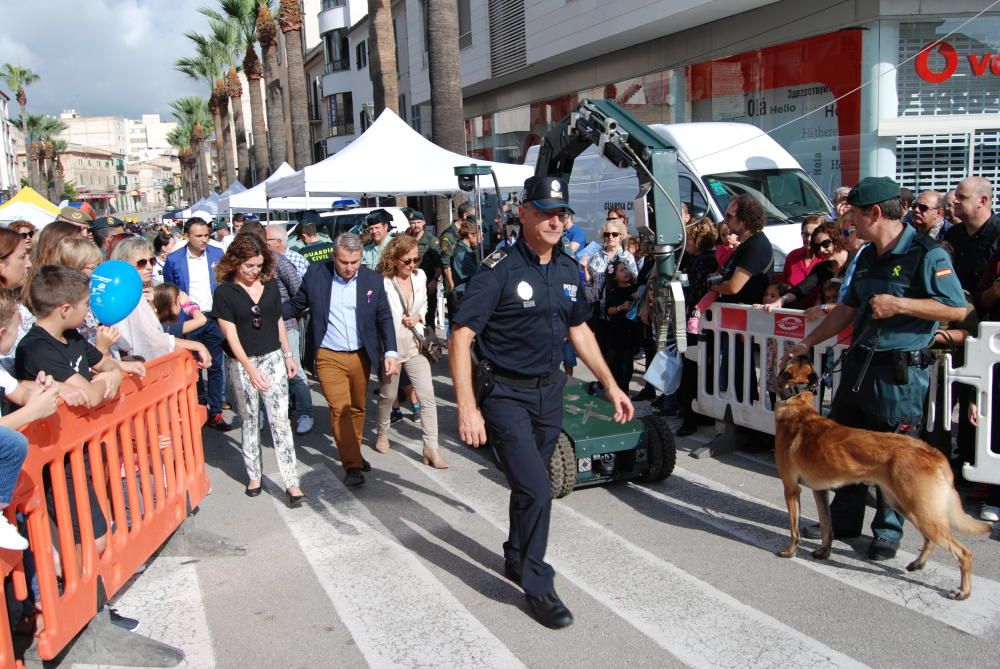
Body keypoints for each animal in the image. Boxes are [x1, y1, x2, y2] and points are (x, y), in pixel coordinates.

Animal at [768, 354, 988, 600]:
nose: (803, 352)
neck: (798, 405)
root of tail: (934, 453)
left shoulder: (791, 489)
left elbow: (794, 529)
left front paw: (790, 551)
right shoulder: (820, 491)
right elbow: (827, 526)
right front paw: (824, 551)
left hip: (919, 510)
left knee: (963, 552)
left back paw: (963, 591)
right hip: (908, 506)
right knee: (930, 540)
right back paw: (917, 564)